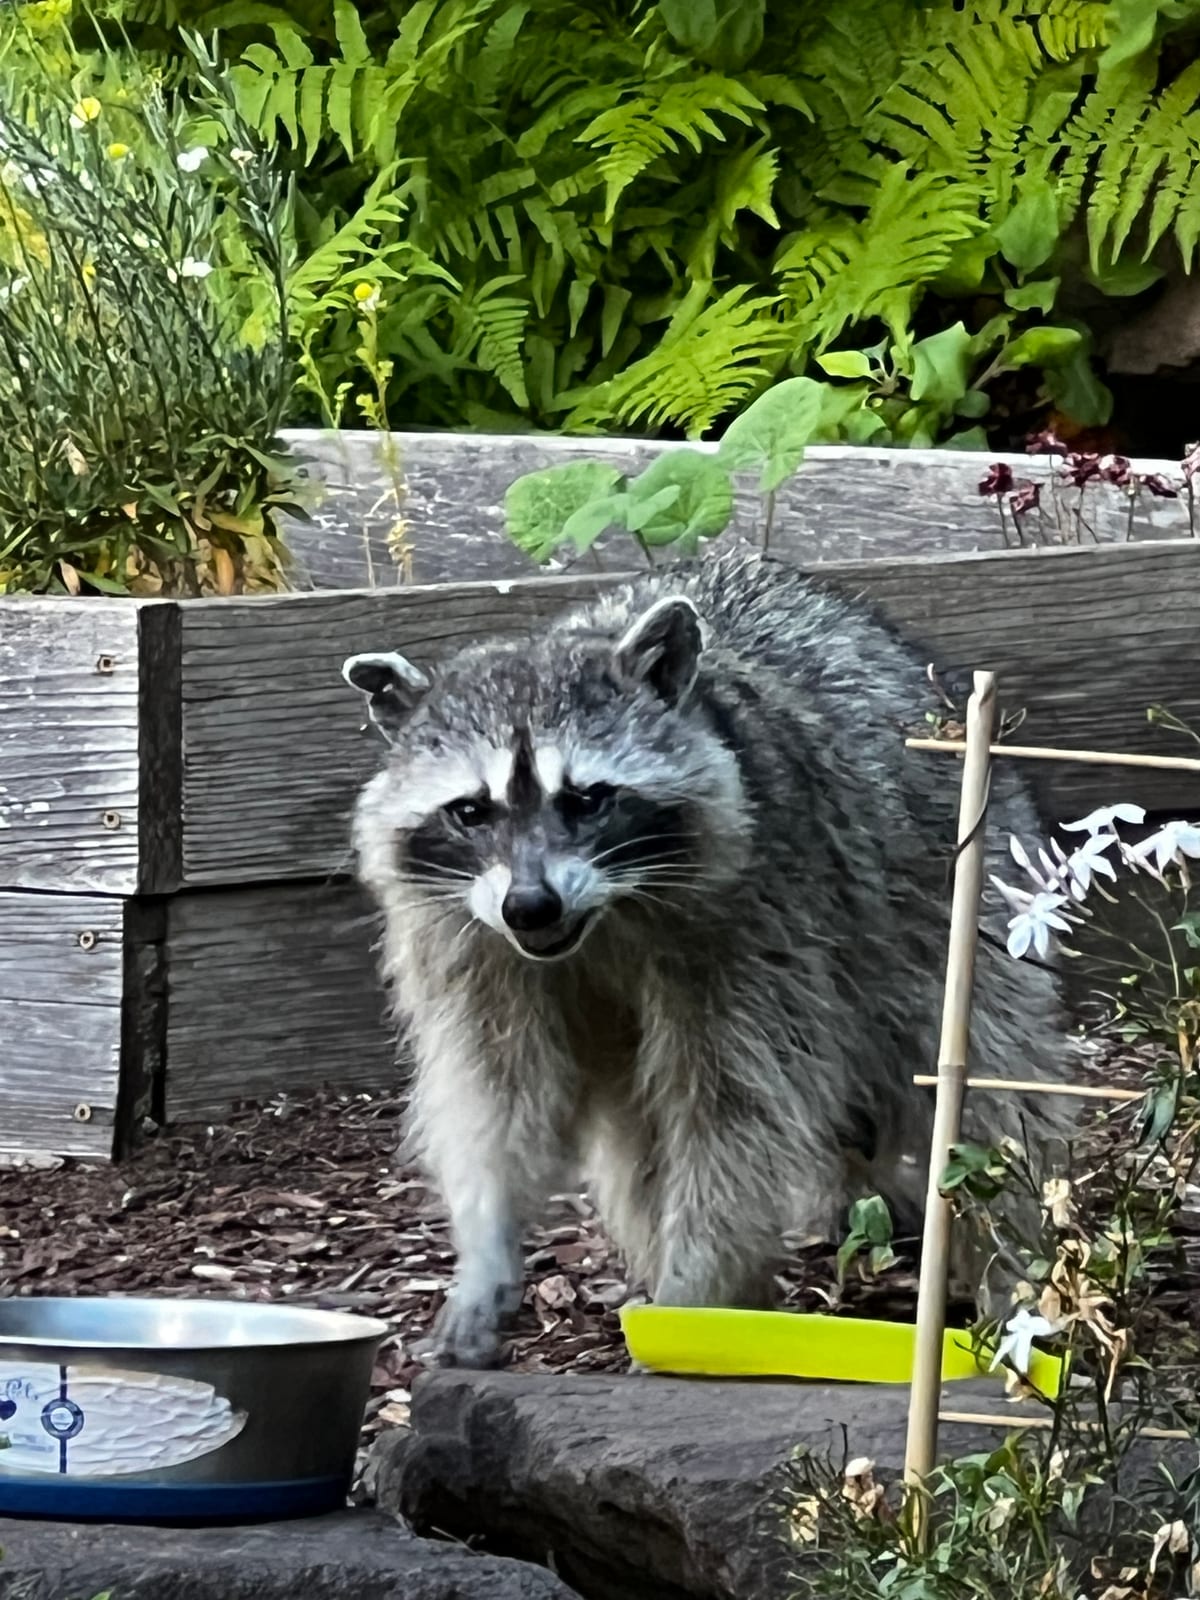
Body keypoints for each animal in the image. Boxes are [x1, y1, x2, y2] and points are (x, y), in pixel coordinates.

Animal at [344, 546, 1074, 1368]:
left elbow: (733, 1113)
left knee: (990, 1079)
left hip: (953, 893)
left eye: (587, 799)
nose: (530, 906)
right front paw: (488, 1248)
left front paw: (693, 1288)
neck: (599, 920)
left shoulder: (761, 915)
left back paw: (1011, 1264)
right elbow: (497, 1098)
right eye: (471, 811)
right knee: (638, 1144)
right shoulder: (466, 944)